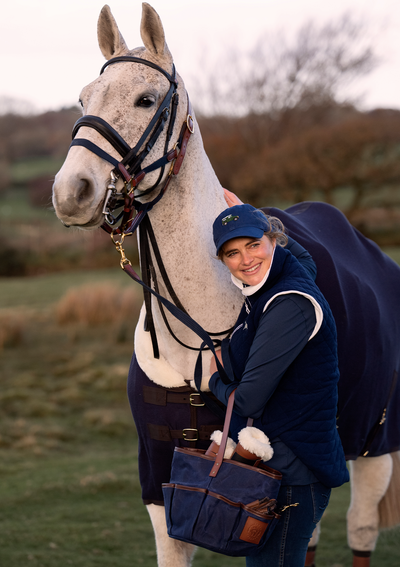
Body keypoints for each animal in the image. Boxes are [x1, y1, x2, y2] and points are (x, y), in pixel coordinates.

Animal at [52, 4, 400, 567]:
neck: (199, 327)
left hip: (375, 441)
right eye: (84, 99)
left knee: (361, 528)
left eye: (146, 99)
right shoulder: (159, 478)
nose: (70, 191)